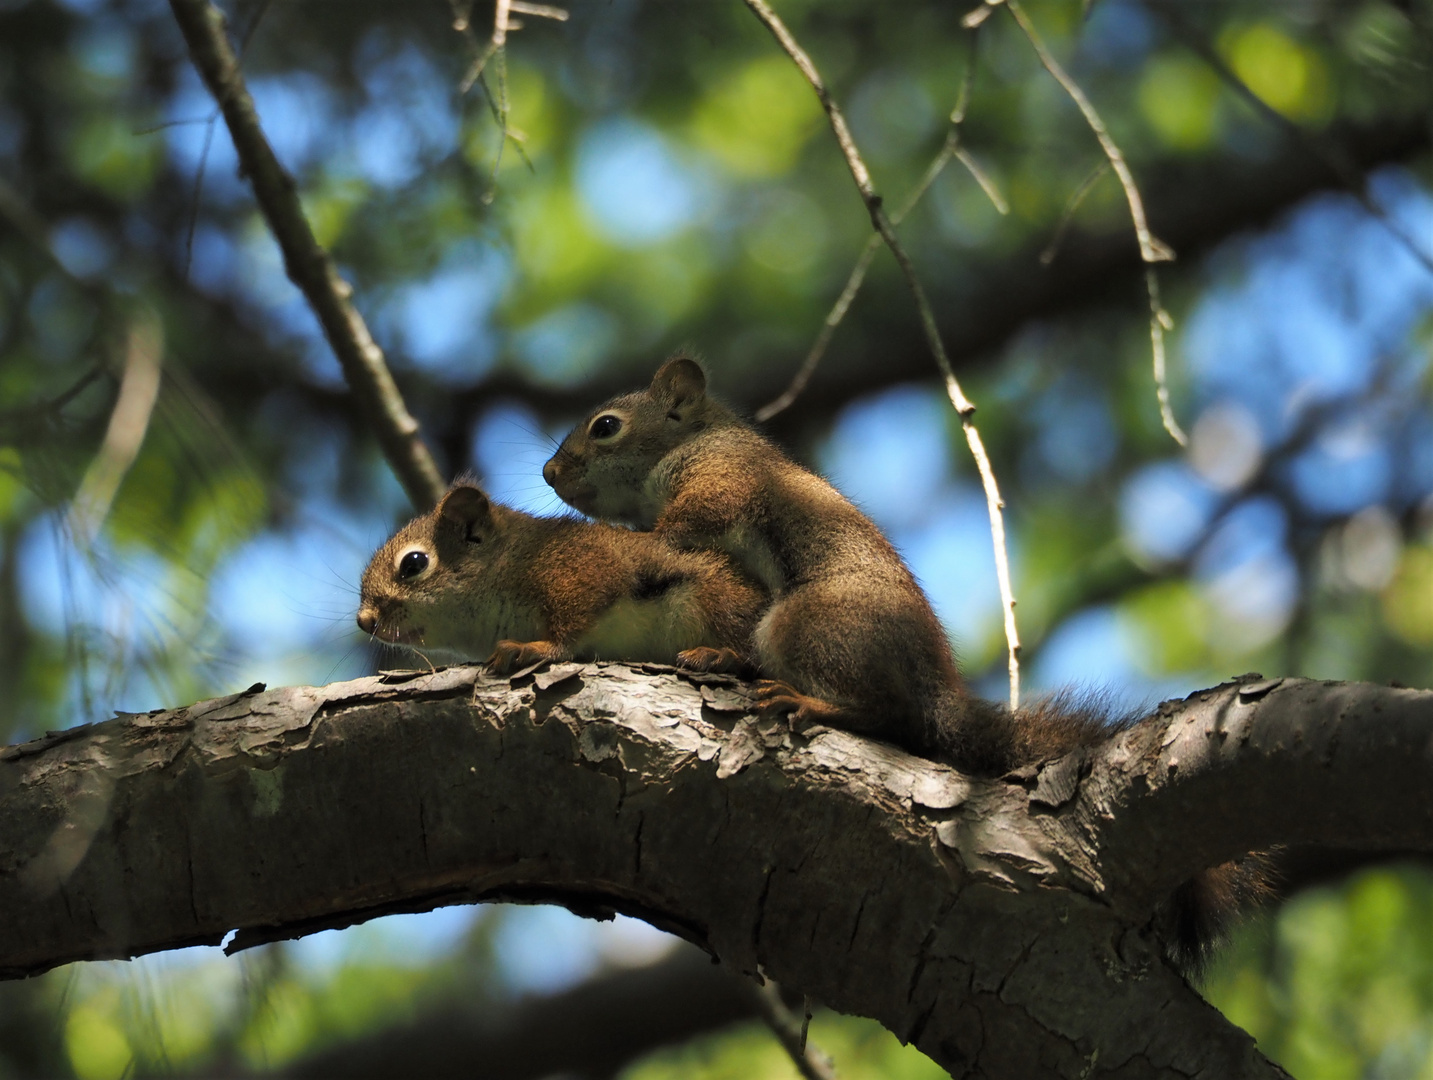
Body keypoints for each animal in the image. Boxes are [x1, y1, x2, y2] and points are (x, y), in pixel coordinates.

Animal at [356, 478, 768, 673]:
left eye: (413, 564)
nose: (364, 621)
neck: (510, 560)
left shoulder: (580, 569)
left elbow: (571, 628)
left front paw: (536, 648)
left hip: (718, 600)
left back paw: (720, 655)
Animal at [541, 353, 1272, 968]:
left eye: (605, 426)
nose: (549, 473)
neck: (689, 441)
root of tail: (936, 696)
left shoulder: (721, 479)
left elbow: (680, 529)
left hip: (809, 622)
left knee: (887, 714)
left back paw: (808, 700)